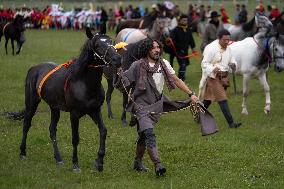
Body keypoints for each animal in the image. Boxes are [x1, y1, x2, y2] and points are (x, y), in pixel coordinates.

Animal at [17, 28, 121, 172]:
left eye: (111, 41)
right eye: (98, 45)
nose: (118, 59)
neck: (84, 83)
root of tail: (33, 68)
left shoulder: (95, 111)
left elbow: (103, 131)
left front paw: (99, 162)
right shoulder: (75, 114)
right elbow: (75, 138)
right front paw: (75, 164)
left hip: (54, 108)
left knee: (52, 130)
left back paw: (58, 159)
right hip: (31, 104)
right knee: (26, 124)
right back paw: (22, 153)